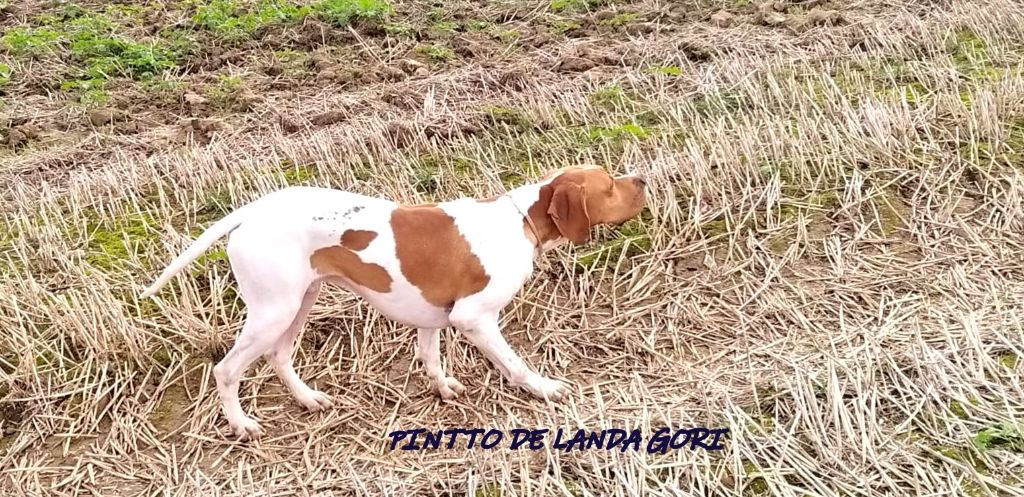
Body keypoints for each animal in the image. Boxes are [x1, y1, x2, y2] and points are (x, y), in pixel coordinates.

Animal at [142, 167, 647, 438]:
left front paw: (442, 389)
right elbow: (515, 365)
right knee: (226, 371)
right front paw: (543, 388)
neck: (518, 220)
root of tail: (253, 211)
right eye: (608, 186)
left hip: (299, 303)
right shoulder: (475, 318)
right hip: (274, 311)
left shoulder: (433, 316)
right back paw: (241, 425)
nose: (642, 179)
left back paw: (307, 399)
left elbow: (431, 357)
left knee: (280, 357)